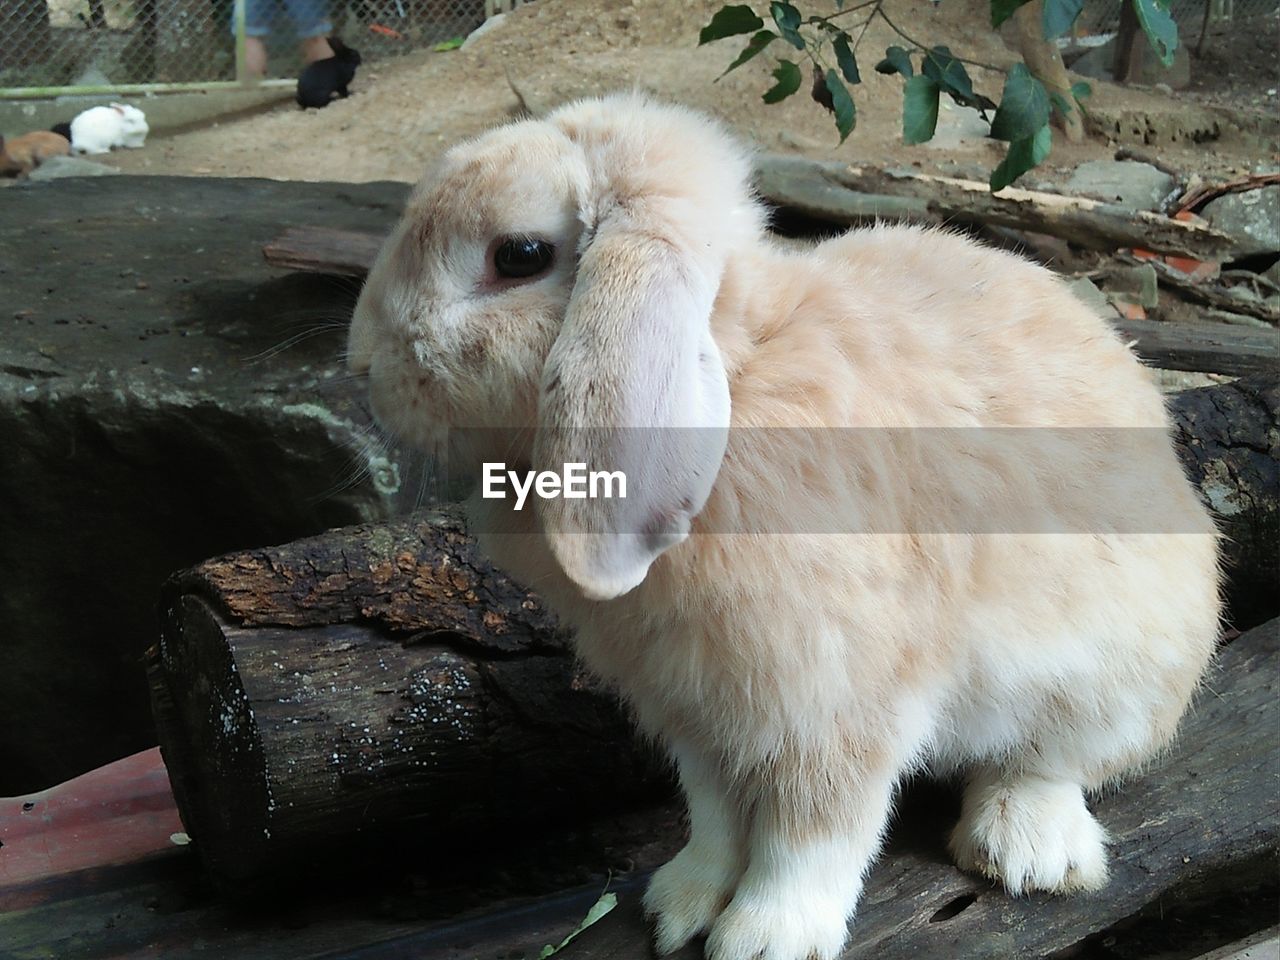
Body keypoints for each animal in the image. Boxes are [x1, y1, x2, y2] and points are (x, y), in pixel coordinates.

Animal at [345, 96, 1223, 960]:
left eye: (519, 255)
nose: (361, 364)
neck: (739, 378)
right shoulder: (697, 710)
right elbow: (714, 813)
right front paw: (680, 907)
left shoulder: (837, 703)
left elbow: (817, 829)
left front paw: (765, 937)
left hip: (1113, 676)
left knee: (1056, 763)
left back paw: (1025, 850)